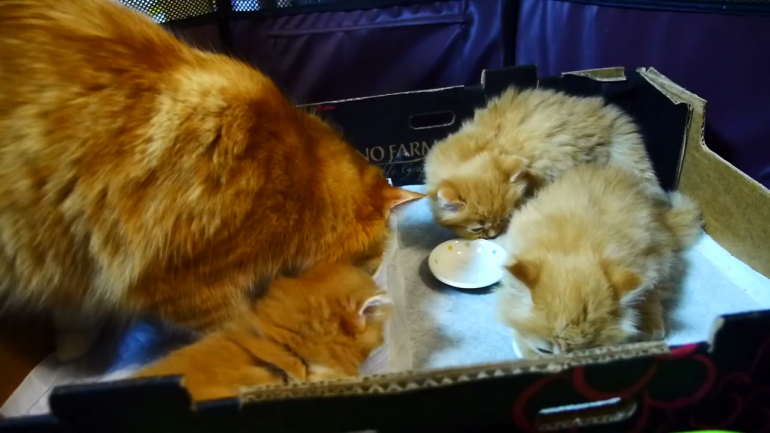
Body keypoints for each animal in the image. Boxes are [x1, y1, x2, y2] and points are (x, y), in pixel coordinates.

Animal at [0, 0, 422, 361]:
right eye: (370, 261)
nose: (372, 280)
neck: (304, 180)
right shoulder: (193, 288)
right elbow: (234, 331)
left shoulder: (71, 254)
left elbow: (71, 305)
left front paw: (71, 343)